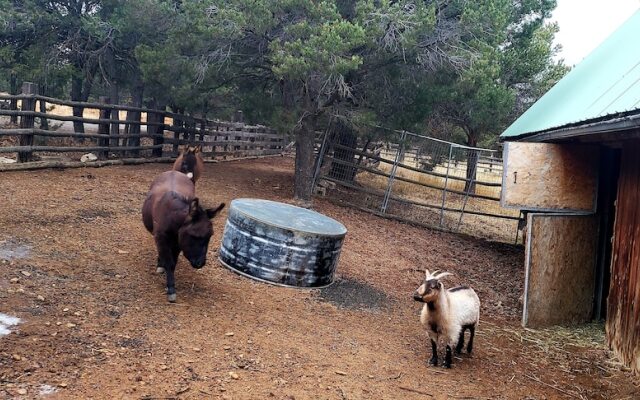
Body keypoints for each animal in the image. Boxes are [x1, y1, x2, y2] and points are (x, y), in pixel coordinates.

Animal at [142, 170, 225, 302]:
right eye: (194, 235)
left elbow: (173, 263)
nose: (200, 263)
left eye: (210, 236)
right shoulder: (161, 238)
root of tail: (173, 171)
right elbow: (169, 263)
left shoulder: (178, 243)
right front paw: (171, 289)